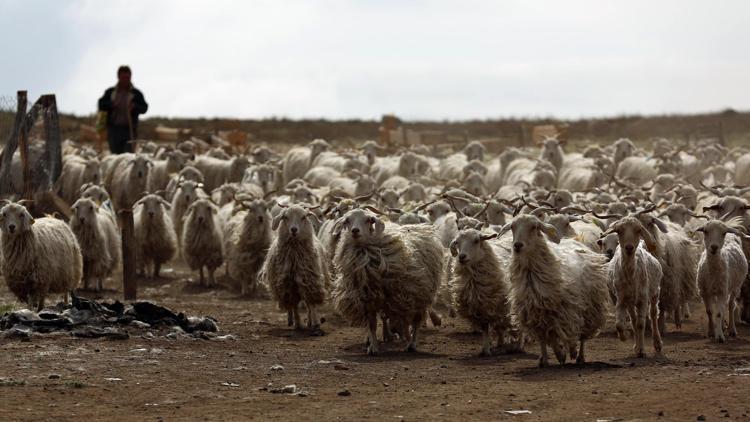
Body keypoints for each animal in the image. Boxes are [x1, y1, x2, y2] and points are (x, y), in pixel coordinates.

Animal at [332, 207, 444, 352]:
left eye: (368, 220)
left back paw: (411, 343)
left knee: (416, 321)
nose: (355, 231)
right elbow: (372, 324)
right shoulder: (366, 298)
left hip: (420, 293)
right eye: (347, 220)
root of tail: (420, 228)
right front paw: (373, 347)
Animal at [500, 214, 612, 366]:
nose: (517, 245)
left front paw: (564, 353)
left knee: (582, 334)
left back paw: (579, 356)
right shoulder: (536, 314)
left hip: (591, 308)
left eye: (534, 226)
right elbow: (545, 338)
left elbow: (559, 335)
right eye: (512, 227)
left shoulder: (562, 311)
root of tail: (576, 241)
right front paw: (547, 358)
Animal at [604, 216, 664, 358]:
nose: (629, 247)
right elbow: (619, 324)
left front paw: (641, 350)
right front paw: (625, 337)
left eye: (638, 230)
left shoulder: (643, 299)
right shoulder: (621, 299)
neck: (631, 275)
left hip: (655, 292)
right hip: (631, 301)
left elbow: (641, 324)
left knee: (653, 314)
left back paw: (657, 343)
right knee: (633, 319)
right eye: (619, 230)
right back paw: (636, 345)